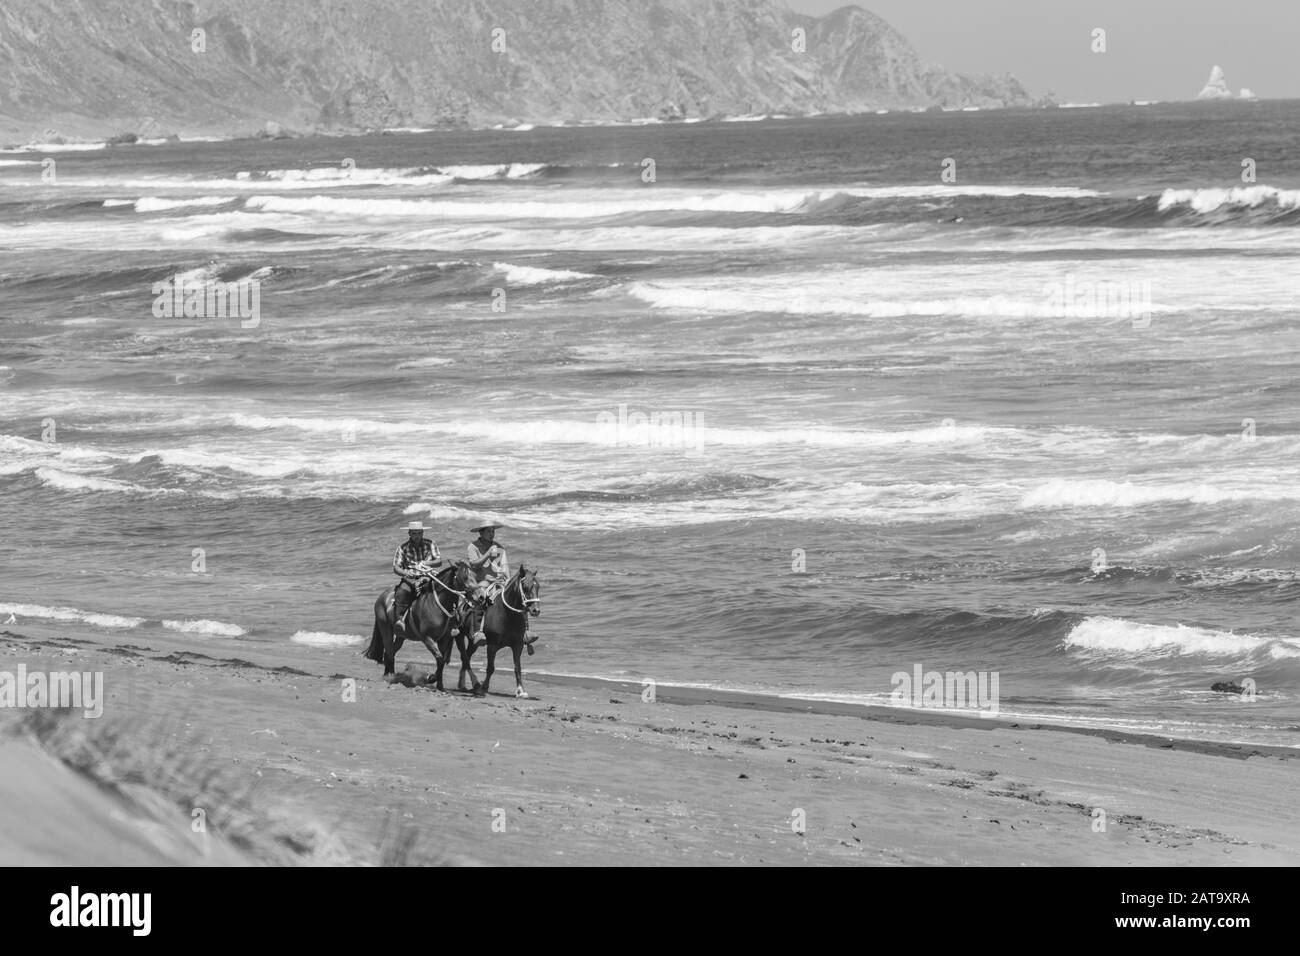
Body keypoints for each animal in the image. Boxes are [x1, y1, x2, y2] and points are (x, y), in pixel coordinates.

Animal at [366, 556, 478, 691]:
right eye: (465, 577)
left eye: (475, 575)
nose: (480, 597)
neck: (437, 604)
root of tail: (381, 597)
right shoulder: (427, 638)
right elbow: (440, 658)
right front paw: (431, 678)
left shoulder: (445, 638)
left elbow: (441, 660)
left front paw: (439, 685)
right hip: (386, 630)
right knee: (389, 652)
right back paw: (391, 677)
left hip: (401, 636)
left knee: (391, 652)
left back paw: (389, 675)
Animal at [465, 564, 540, 697]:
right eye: (525, 587)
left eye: (538, 587)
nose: (535, 610)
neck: (507, 615)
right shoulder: (492, 645)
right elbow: (490, 668)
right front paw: (484, 688)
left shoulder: (518, 645)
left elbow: (517, 668)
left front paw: (521, 690)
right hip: (470, 642)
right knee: (465, 658)